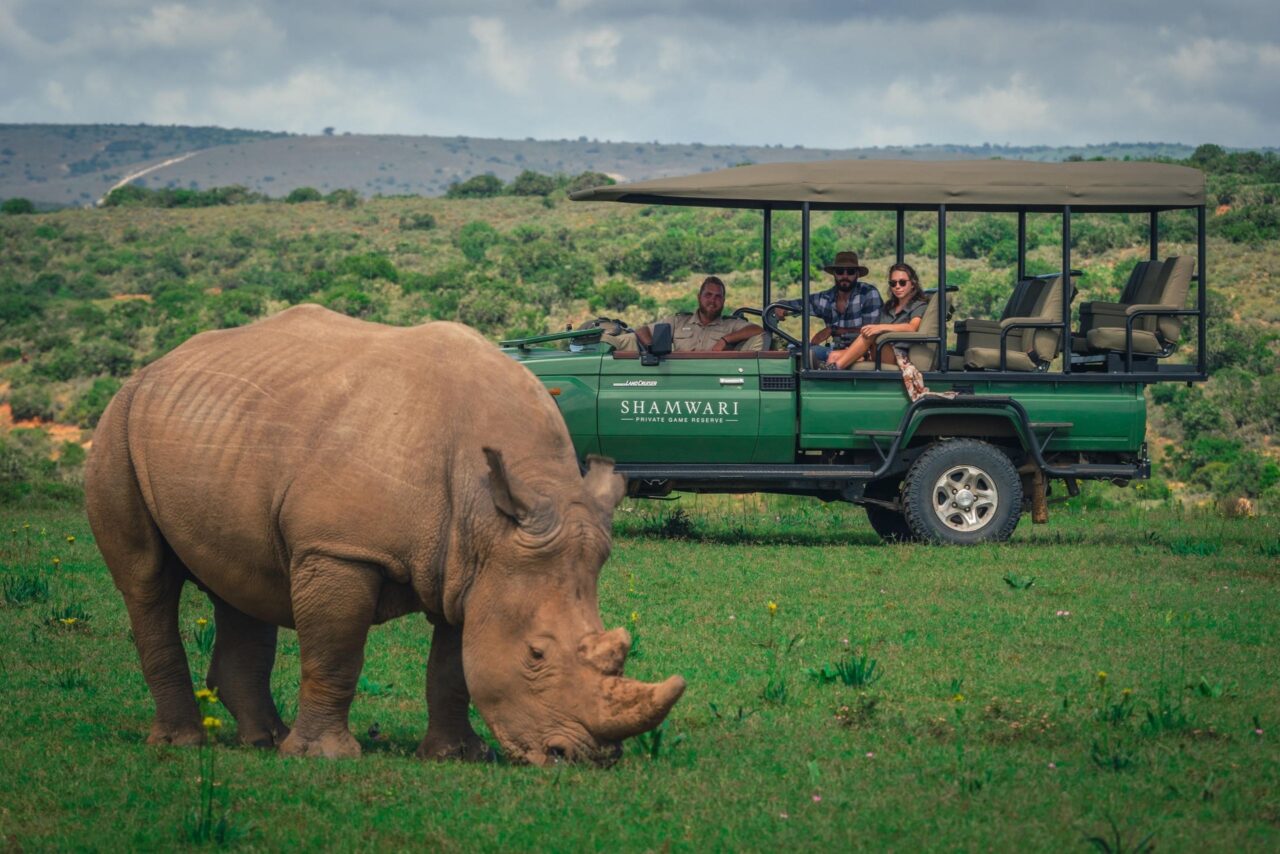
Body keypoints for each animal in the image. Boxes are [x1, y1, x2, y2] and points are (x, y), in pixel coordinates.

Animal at [85, 305, 684, 765]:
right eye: (536, 654)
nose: (585, 758)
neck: (490, 515)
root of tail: (157, 365)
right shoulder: (341, 550)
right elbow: (336, 652)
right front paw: (326, 758)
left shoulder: (473, 565)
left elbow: (453, 665)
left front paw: (456, 755)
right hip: (118, 425)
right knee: (147, 580)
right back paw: (183, 743)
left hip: (219, 430)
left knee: (240, 579)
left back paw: (263, 741)